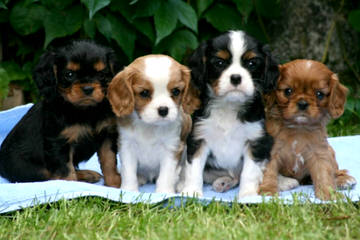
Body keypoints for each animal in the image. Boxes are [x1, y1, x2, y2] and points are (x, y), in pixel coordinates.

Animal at [0, 39, 121, 188]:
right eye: (69, 74)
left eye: (101, 75)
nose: (88, 88)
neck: (85, 110)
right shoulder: (59, 143)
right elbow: (65, 171)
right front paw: (70, 186)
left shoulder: (107, 136)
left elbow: (109, 160)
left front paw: (116, 184)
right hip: (28, 169)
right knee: (48, 176)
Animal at [107, 54, 200, 193]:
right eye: (144, 93)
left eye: (176, 91)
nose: (163, 110)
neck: (149, 126)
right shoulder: (127, 146)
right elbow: (128, 172)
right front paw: (129, 191)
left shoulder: (171, 148)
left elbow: (166, 175)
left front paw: (164, 192)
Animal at [258, 60, 358, 201]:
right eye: (288, 91)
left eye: (319, 94)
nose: (303, 103)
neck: (298, 127)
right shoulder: (271, 152)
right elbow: (269, 171)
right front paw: (268, 191)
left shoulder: (320, 153)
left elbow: (324, 173)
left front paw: (328, 194)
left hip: (330, 151)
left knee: (334, 171)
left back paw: (343, 180)